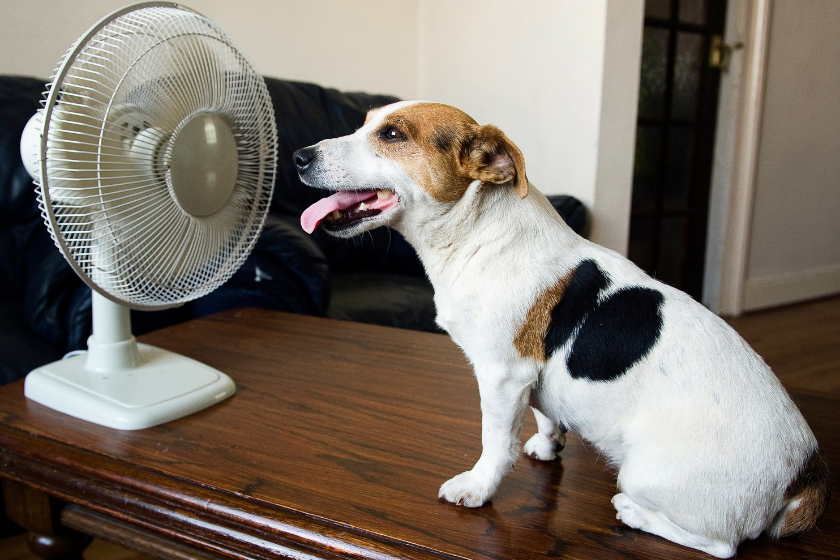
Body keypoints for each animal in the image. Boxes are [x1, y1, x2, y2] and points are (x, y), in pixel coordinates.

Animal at [292, 100, 832, 556]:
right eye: (365, 123)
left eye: (392, 134)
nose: (298, 156)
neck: (478, 232)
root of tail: (805, 477)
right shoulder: (530, 377)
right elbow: (545, 414)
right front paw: (550, 446)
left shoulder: (501, 376)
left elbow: (496, 443)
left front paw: (478, 488)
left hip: (645, 474)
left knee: (721, 545)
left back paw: (635, 514)